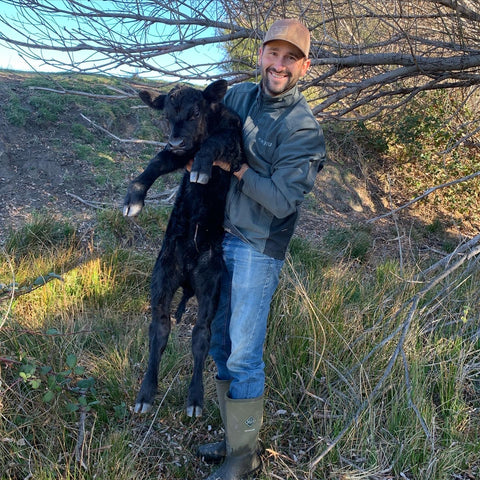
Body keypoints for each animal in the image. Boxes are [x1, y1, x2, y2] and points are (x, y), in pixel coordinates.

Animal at [124, 79, 242, 416]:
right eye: (166, 115)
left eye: (195, 111)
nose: (175, 140)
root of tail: (188, 273)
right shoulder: (178, 154)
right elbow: (156, 162)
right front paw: (133, 199)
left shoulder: (235, 147)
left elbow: (215, 141)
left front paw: (202, 167)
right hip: (163, 276)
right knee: (159, 329)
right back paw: (146, 394)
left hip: (210, 285)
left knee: (201, 336)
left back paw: (195, 399)